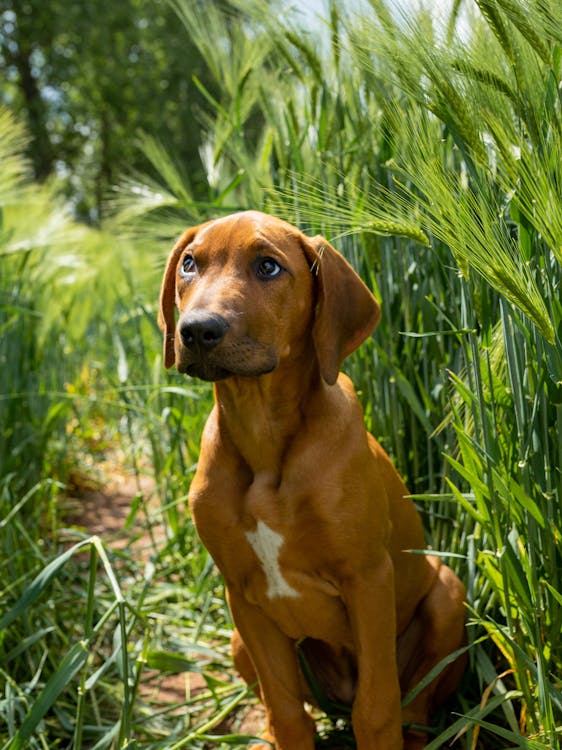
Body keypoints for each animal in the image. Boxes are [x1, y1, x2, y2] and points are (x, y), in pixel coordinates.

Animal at [158, 212, 464, 750]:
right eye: (190, 264)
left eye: (268, 266)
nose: (196, 331)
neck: (263, 440)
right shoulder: (241, 594)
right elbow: (287, 713)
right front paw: (282, 731)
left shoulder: (367, 579)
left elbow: (377, 710)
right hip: (238, 639)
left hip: (449, 593)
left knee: (413, 706)